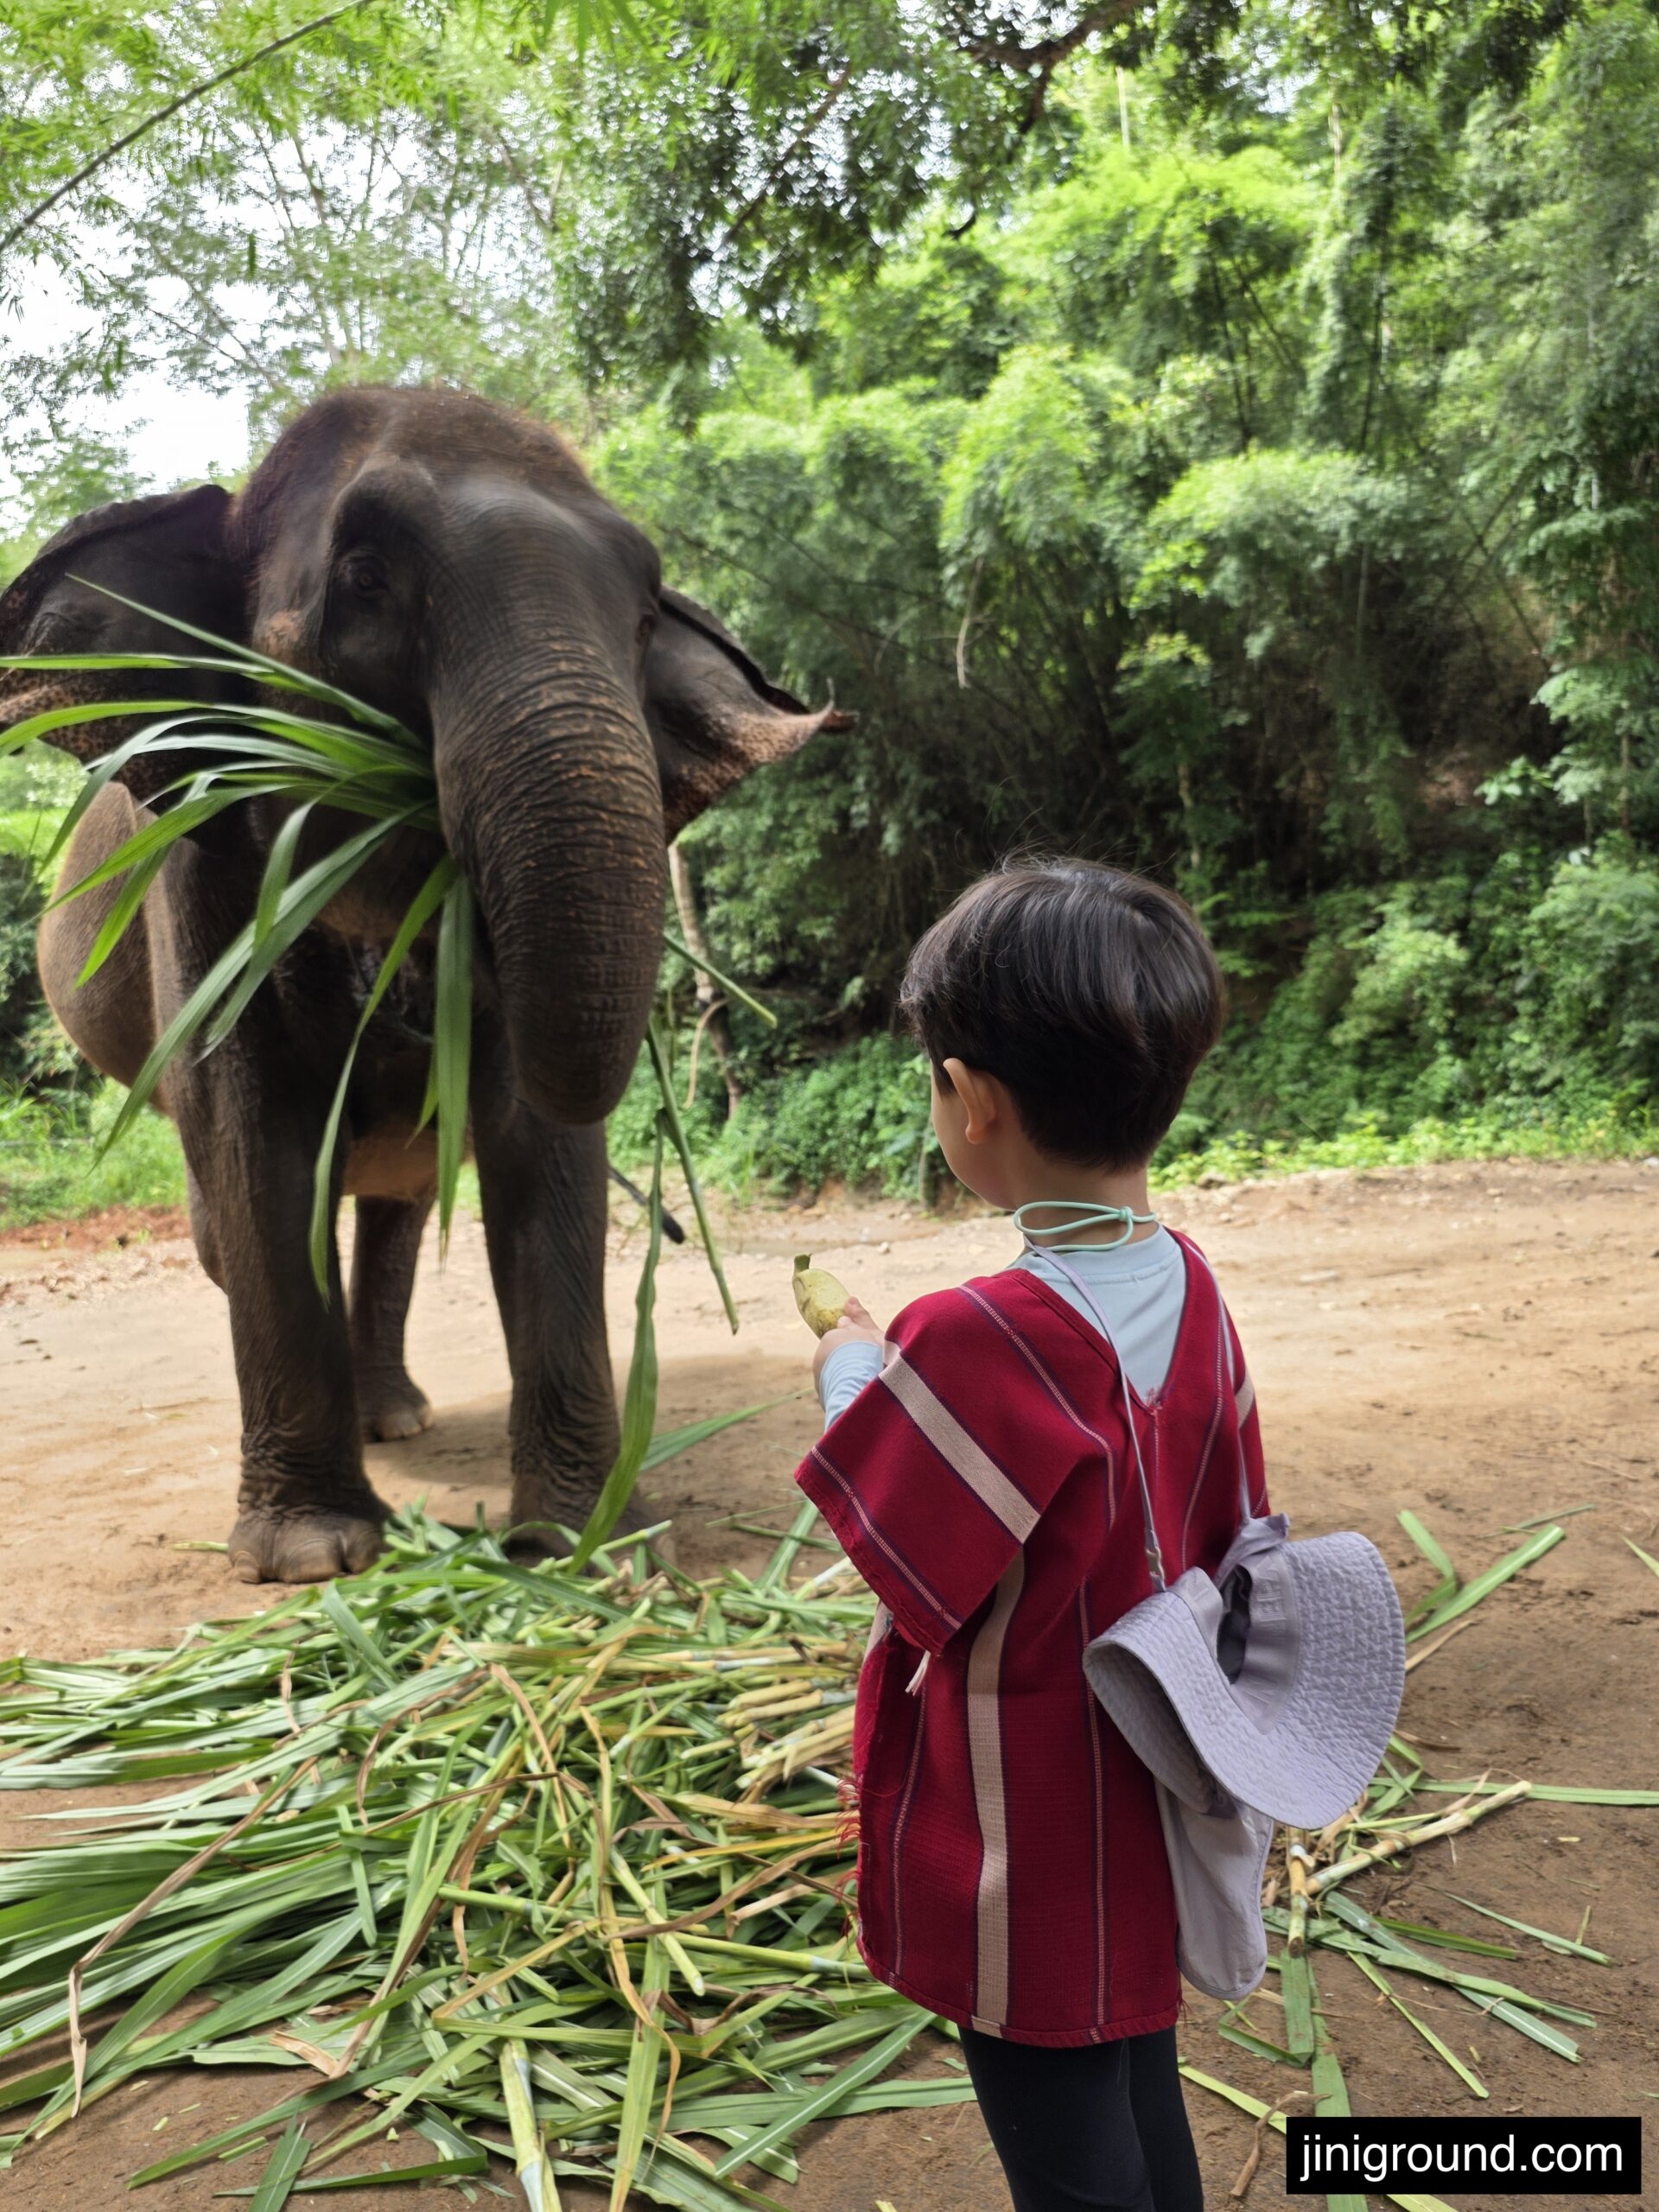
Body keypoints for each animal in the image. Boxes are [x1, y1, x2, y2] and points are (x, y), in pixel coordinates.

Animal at [0, 385, 845, 1581]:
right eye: (364, 577)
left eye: (644, 617)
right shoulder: (202, 872)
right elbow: (252, 1146)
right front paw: (310, 1557)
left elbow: (546, 1155)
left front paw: (589, 1549)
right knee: (232, 1218)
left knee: (393, 1206)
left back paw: (393, 1415)